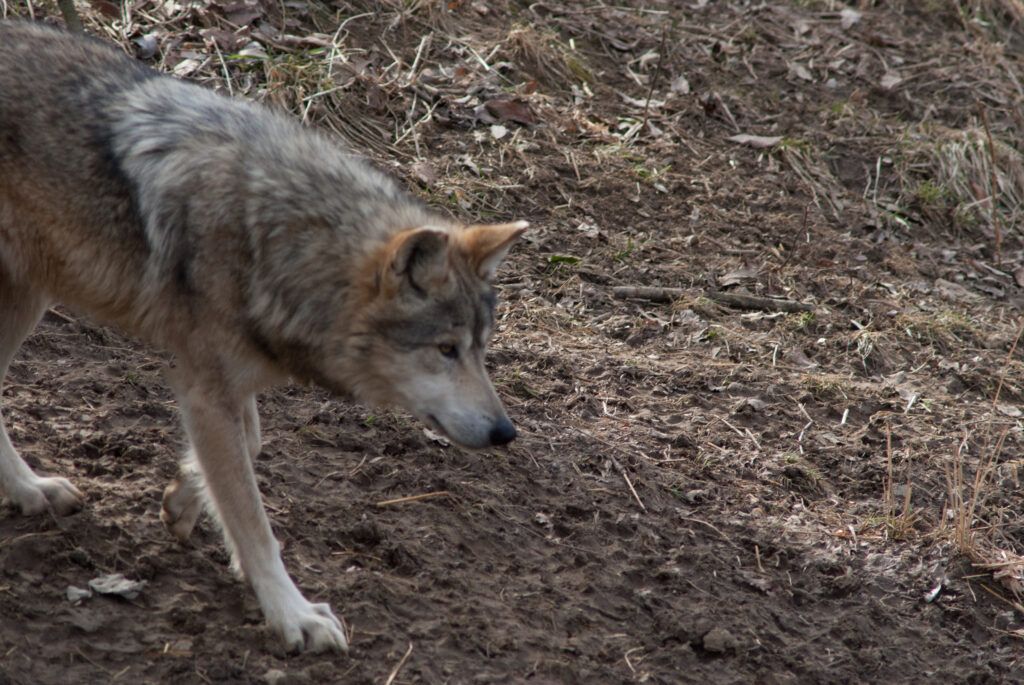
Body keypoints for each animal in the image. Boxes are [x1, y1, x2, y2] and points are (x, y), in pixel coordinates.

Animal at [0, 21, 526, 653]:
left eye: (480, 349)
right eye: (445, 350)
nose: (505, 433)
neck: (272, 235)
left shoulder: (226, 384)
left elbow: (247, 448)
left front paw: (183, 498)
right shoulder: (206, 388)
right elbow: (253, 519)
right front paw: (291, 614)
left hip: (28, 295)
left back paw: (30, 491)